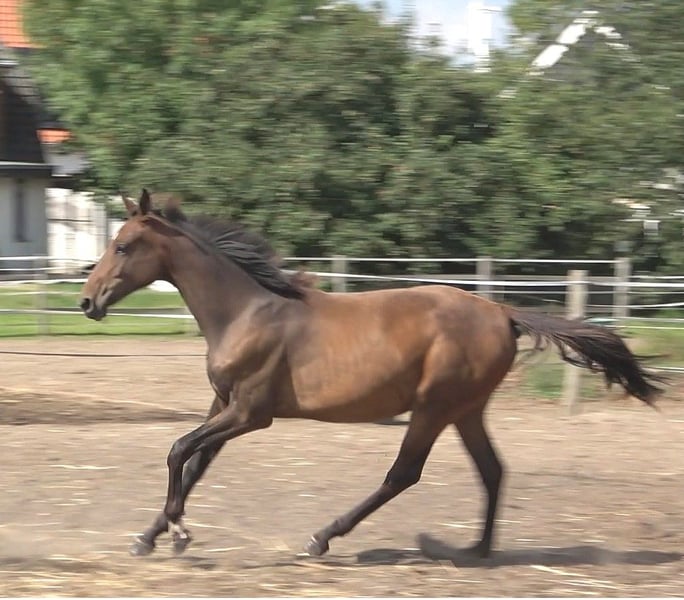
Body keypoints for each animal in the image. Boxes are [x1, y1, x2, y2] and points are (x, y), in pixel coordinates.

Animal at [79, 189, 663, 559]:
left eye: (123, 245)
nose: (88, 302)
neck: (247, 311)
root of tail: (504, 312)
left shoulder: (250, 412)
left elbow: (177, 450)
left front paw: (178, 534)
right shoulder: (222, 405)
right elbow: (194, 464)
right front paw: (150, 536)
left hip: (434, 407)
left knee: (403, 474)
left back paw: (322, 538)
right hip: (466, 410)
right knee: (492, 471)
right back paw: (477, 549)